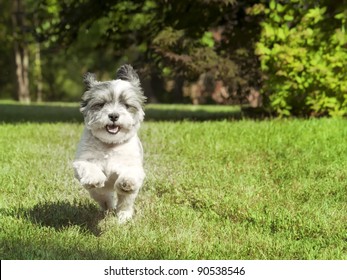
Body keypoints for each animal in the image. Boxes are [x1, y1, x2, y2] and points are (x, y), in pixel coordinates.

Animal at [73, 64, 147, 223]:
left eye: (126, 105)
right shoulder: (82, 161)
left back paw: (124, 216)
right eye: (100, 105)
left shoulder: (133, 165)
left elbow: (130, 174)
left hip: (127, 196)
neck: (110, 144)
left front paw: (127, 182)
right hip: (99, 193)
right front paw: (94, 178)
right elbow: (89, 167)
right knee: (105, 197)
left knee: (125, 200)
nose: (113, 115)